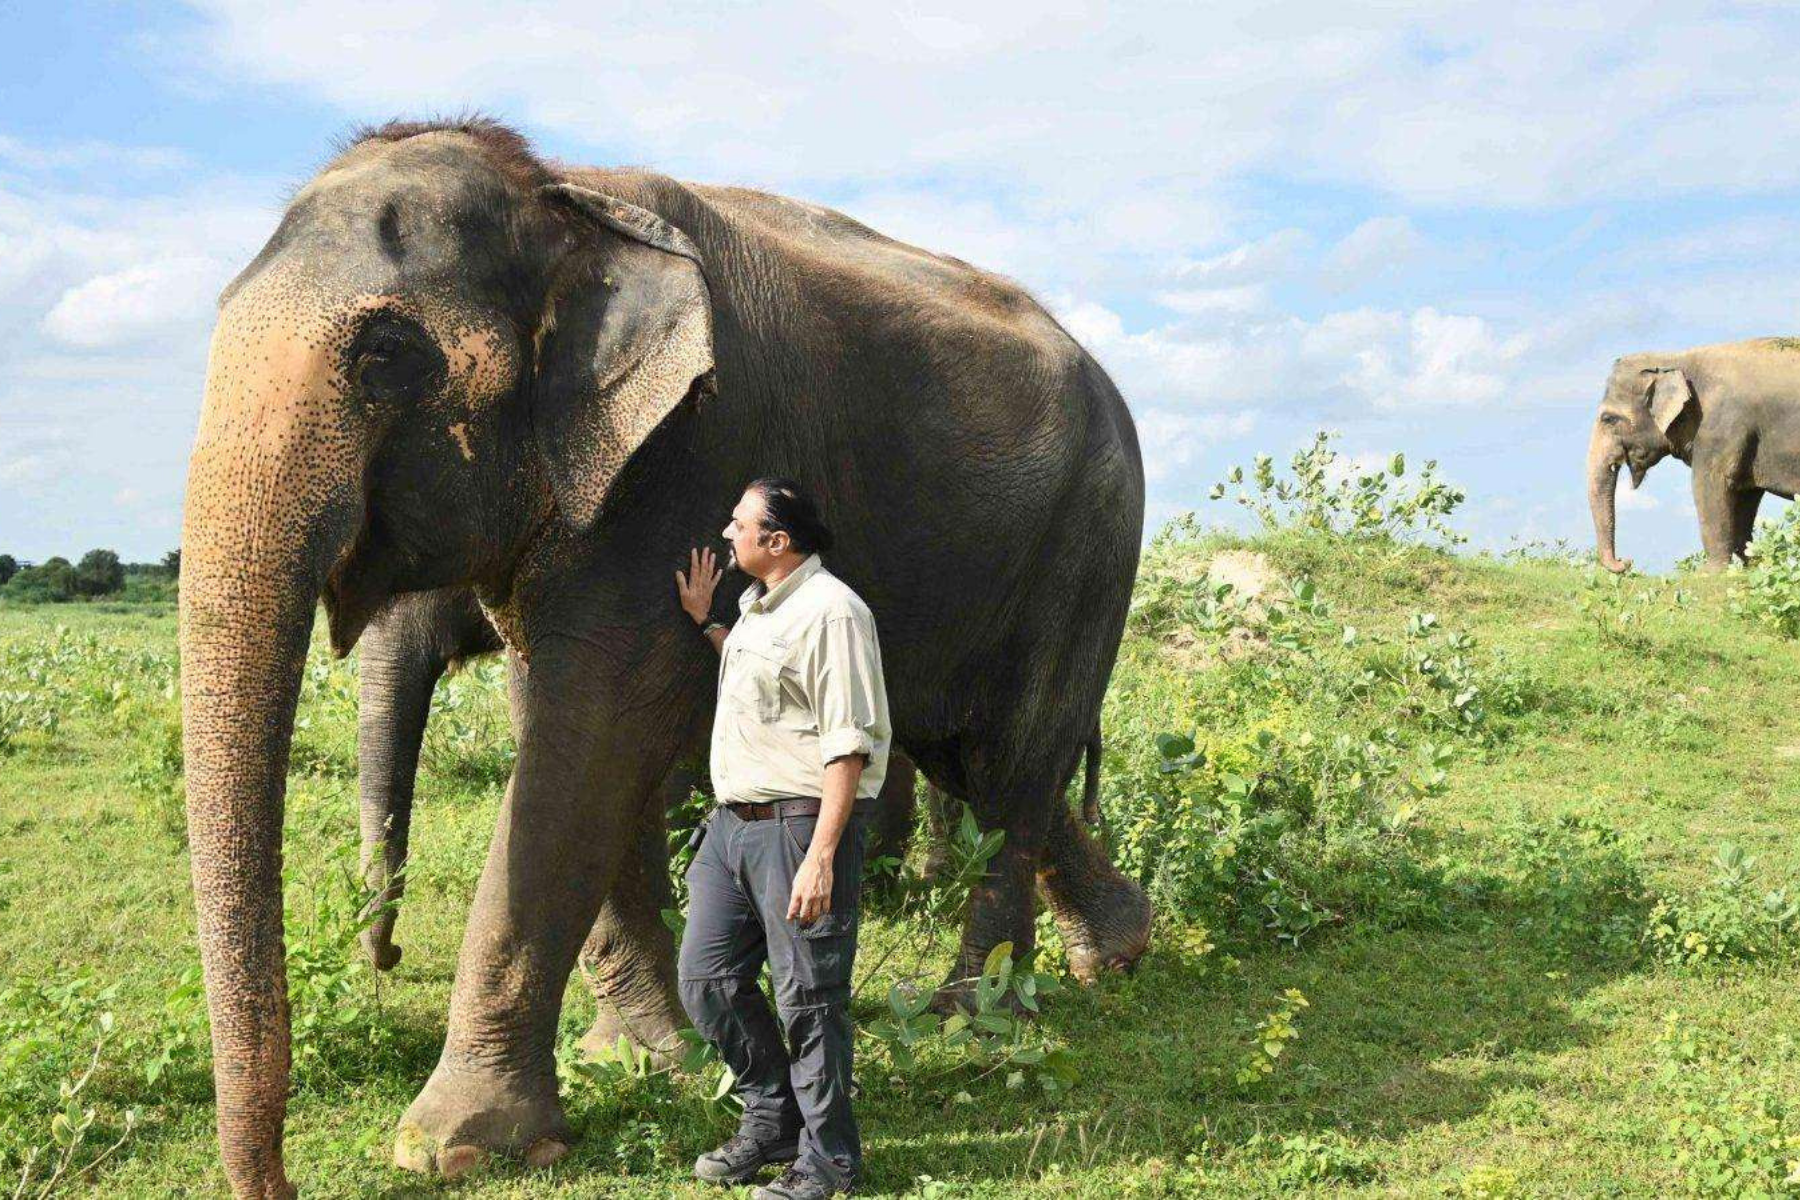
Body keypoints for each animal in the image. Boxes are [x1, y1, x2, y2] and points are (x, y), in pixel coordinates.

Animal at [179, 117, 1148, 1197]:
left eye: (386, 353)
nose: (280, 1181)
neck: (565, 196)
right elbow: (578, 738)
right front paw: (648, 1057)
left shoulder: (688, 459)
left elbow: (593, 734)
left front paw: (458, 1144)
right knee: (978, 759)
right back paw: (1116, 952)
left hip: (1091, 543)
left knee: (1016, 761)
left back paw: (971, 1019)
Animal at [1588, 338, 1800, 573]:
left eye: (1609, 419)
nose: (1625, 561)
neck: (1674, 358)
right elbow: (1746, 494)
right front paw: (1748, 567)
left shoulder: (1720, 427)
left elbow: (1708, 485)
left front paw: (1708, 573)